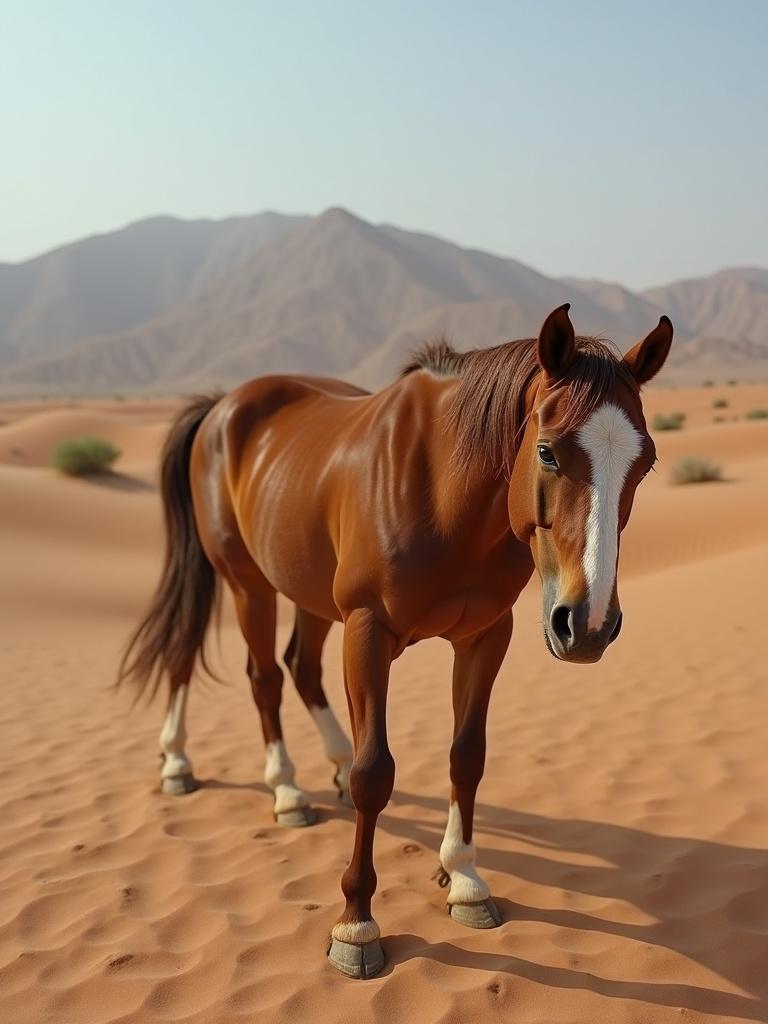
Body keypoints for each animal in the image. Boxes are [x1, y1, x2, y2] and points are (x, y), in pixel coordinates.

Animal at [118, 303, 671, 974]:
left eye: (645, 463)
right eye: (548, 451)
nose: (586, 624)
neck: (443, 491)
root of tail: (224, 405)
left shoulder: (486, 635)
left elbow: (467, 757)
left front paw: (465, 881)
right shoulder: (368, 630)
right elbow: (374, 773)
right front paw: (356, 925)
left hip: (309, 593)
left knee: (299, 667)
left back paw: (319, 766)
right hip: (245, 581)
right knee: (247, 672)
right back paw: (249, 780)